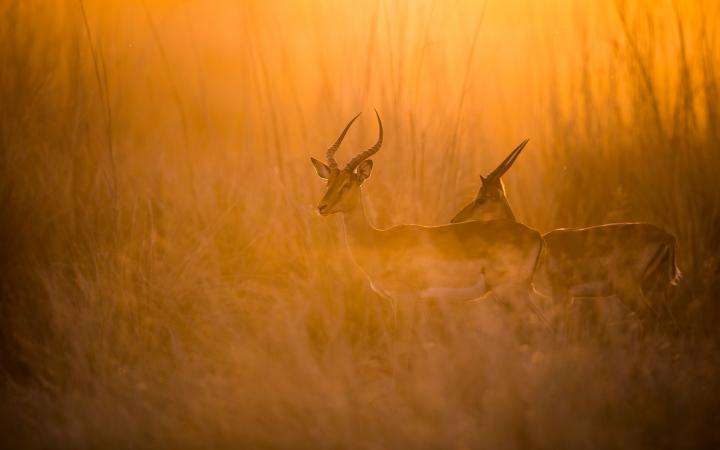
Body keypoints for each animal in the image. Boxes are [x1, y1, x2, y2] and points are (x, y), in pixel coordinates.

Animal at [308, 111, 540, 312]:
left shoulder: (404, 299)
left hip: (513, 293)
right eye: (328, 182)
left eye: (347, 184)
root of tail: (537, 235)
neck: (378, 240)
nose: (321, 207)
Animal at [450, 140, 680, 320]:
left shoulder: (560, 295)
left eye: (480, 199)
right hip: (655, 289)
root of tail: (668, 236)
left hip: (629, 290)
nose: (455, 220)